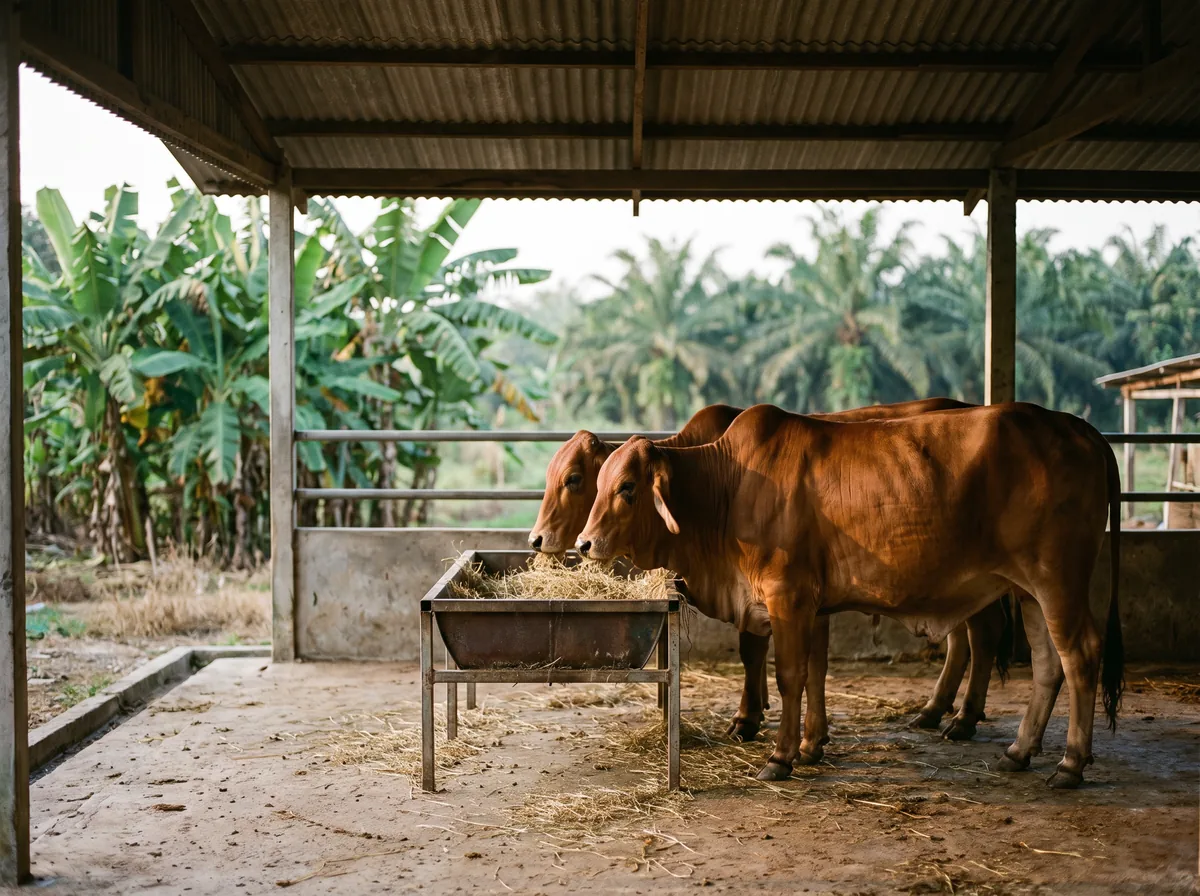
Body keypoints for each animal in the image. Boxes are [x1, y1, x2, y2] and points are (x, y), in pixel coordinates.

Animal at [529, 399, 1011, 748]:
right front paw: (778, 722)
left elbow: (769, 655)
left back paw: (962, 717)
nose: (538, 539)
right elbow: (789, 659)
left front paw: (754, 720)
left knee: (982, 637)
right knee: (962, 640)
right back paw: (936, 711)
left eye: (574, 478)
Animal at [576, 402, 1122, 789]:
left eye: (627, 487)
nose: (585, 543)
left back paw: (1070, 764)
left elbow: (790, 676)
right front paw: (811, 746)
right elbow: (816, 672)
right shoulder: (812, 604)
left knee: (1080, 656)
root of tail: (1080, 428)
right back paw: (1019, 751)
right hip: (1029, 591)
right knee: (1048, 664)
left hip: (1058, 581)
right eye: (597, 483)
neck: (728, 488)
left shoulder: (788, 595)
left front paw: (781, 756)